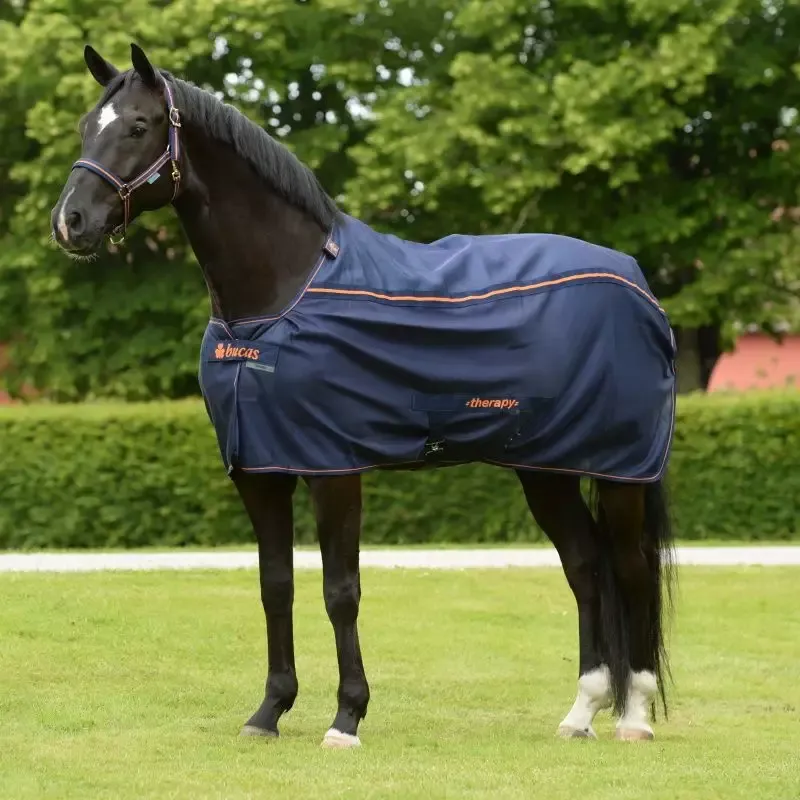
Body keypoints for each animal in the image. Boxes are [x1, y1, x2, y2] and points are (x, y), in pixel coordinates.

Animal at [51, 43, 678, 748]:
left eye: (138, 125)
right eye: (85, 126)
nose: (70, 223)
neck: (280, 295)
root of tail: (638, 284)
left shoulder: (333, 467)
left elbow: (340, 590)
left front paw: (347, 717)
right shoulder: (260, 470)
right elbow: (276, 585)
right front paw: (269, 711)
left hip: (620, 471)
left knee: (630, 567)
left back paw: (634, 716)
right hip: (546, 469)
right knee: (586, 567)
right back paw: (582, 711)